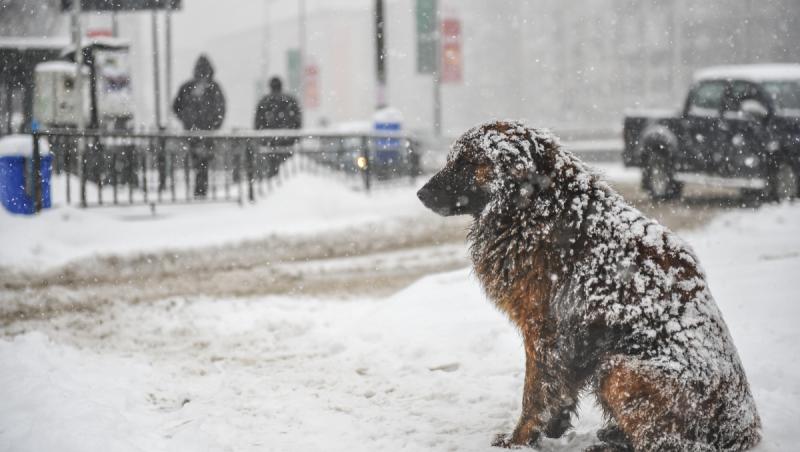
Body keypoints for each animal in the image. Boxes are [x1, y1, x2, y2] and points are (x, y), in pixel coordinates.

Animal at [416, 121, 760, 452]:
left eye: (466, 163)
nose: (420, 193)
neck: (538, 205)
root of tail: (744, 428)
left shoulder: (544, 330)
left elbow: (536, 393)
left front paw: (519, 441)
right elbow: (561, 392)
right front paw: (551, 431)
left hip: (619, 369)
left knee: (663, 442)